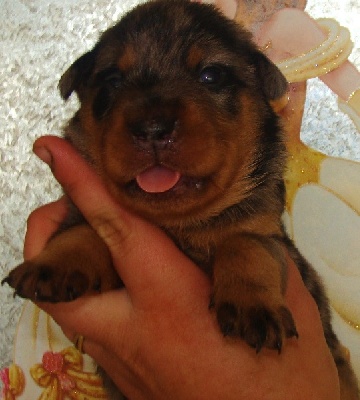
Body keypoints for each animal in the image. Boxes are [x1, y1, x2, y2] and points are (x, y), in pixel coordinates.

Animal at [2, 0, 358, 398]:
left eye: (211, 76)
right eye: (112, 81)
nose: (152, 129)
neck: (180, 225)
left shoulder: (271, 237)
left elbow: (245, 244)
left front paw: (252, 305)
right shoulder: (83, 214)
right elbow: (82, 231)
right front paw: (56, 263)